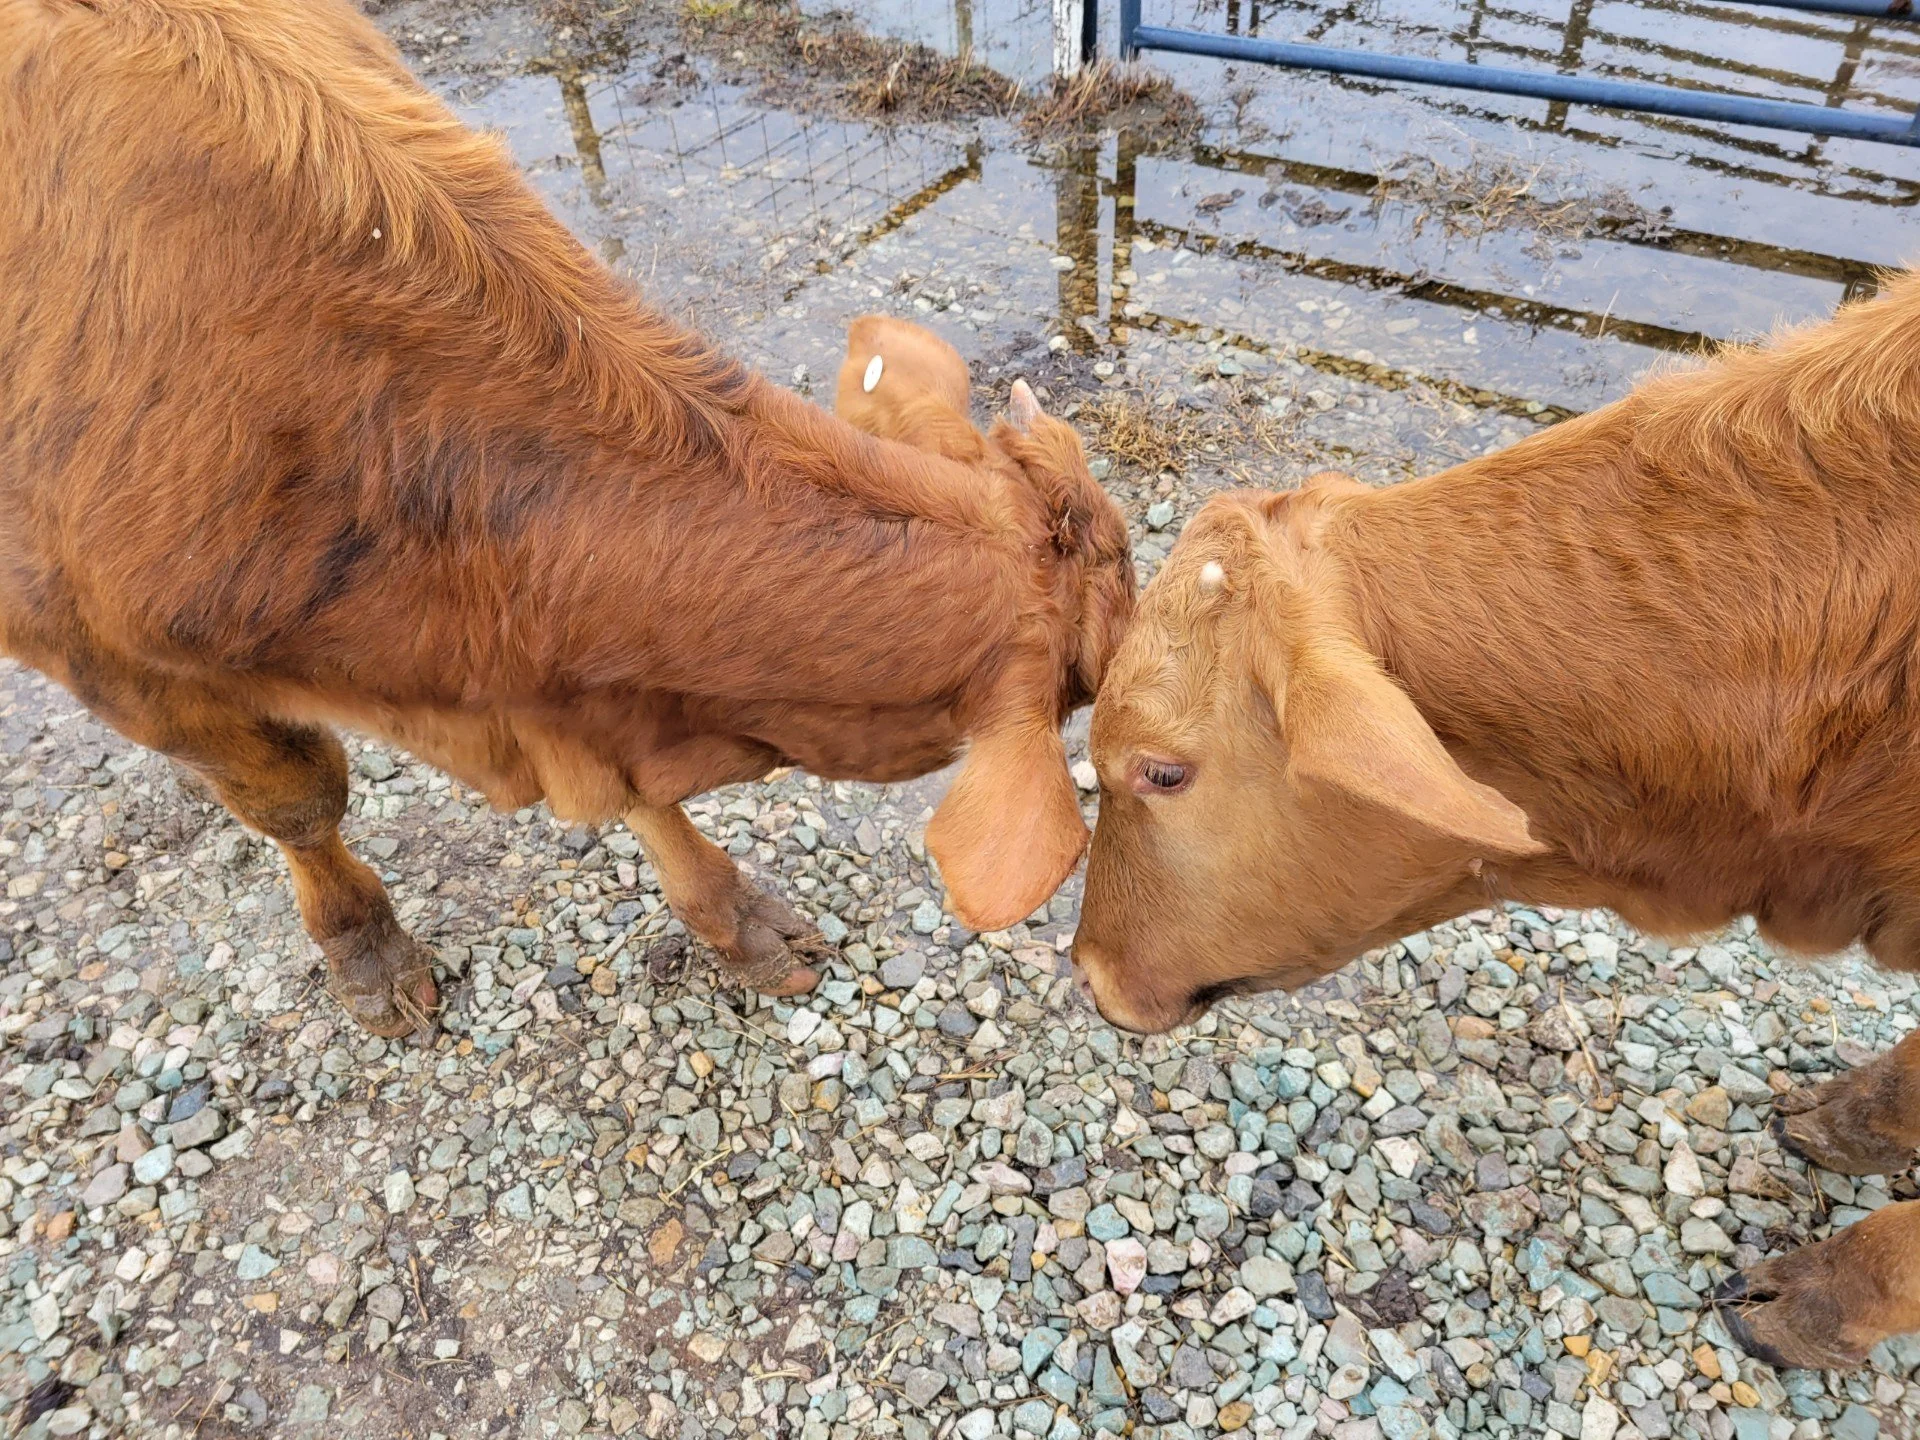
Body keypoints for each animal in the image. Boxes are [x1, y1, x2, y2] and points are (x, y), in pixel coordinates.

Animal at [0, 0, 1131, 1039]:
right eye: (1091, 689)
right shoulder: (107, 656)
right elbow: (300, 798)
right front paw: (366, 951)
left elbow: (640, 795)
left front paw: (737, 920)